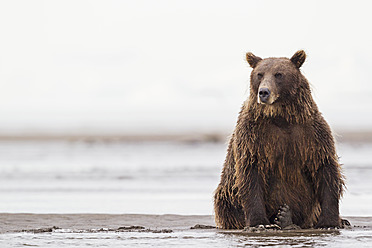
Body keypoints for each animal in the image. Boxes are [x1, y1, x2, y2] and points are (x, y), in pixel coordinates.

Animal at [214, 50, 344, 229]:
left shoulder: (312, 133)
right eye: (260, 74)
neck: (281, 117)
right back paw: (282, 218)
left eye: (279, 74)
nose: (264, 92)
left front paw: (329, 222)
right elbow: (250, 173)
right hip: (226, 195)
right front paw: (259, 223)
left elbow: (325, 168)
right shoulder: (253, 136)